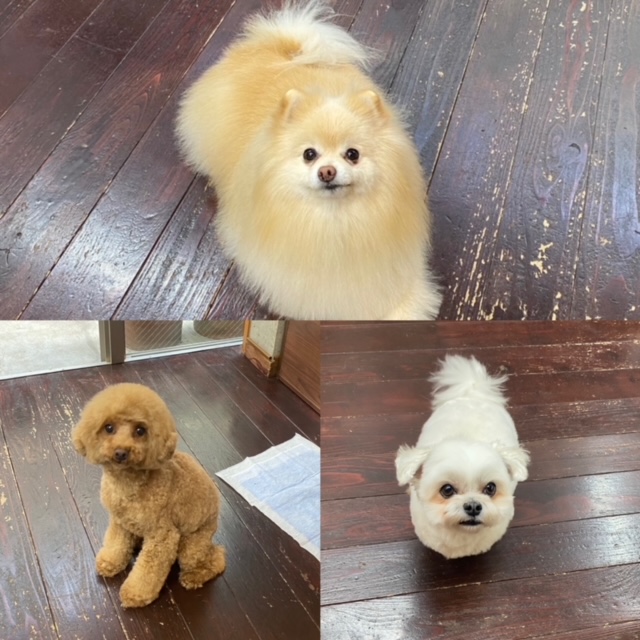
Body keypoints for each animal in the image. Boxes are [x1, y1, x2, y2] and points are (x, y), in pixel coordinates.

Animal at [72, 383, 225, 607]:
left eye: (140, 431)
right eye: (109, 428)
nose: (121, 452)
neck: (128, 484)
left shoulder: (163, 535)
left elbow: (148, 570)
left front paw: (136, 594)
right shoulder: (119, 521)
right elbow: (116, 543)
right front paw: (110, 561)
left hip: (191, 547)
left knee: (216, 558)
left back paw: (194, 576)